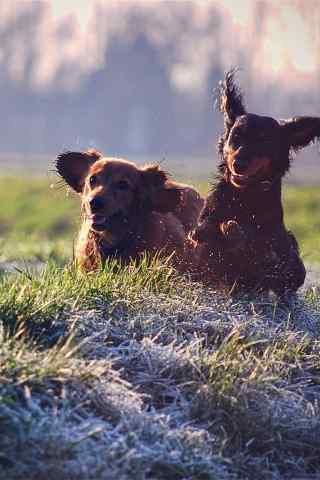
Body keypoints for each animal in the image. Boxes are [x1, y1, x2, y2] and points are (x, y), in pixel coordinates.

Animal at [192, 71, 320, 296]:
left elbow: (258, 245)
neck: (244, 196)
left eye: (264, 140)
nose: (239, 164)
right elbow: (209, 230)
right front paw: (210, 229)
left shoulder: (274, 249)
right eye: (236, 136)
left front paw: (235, 231)